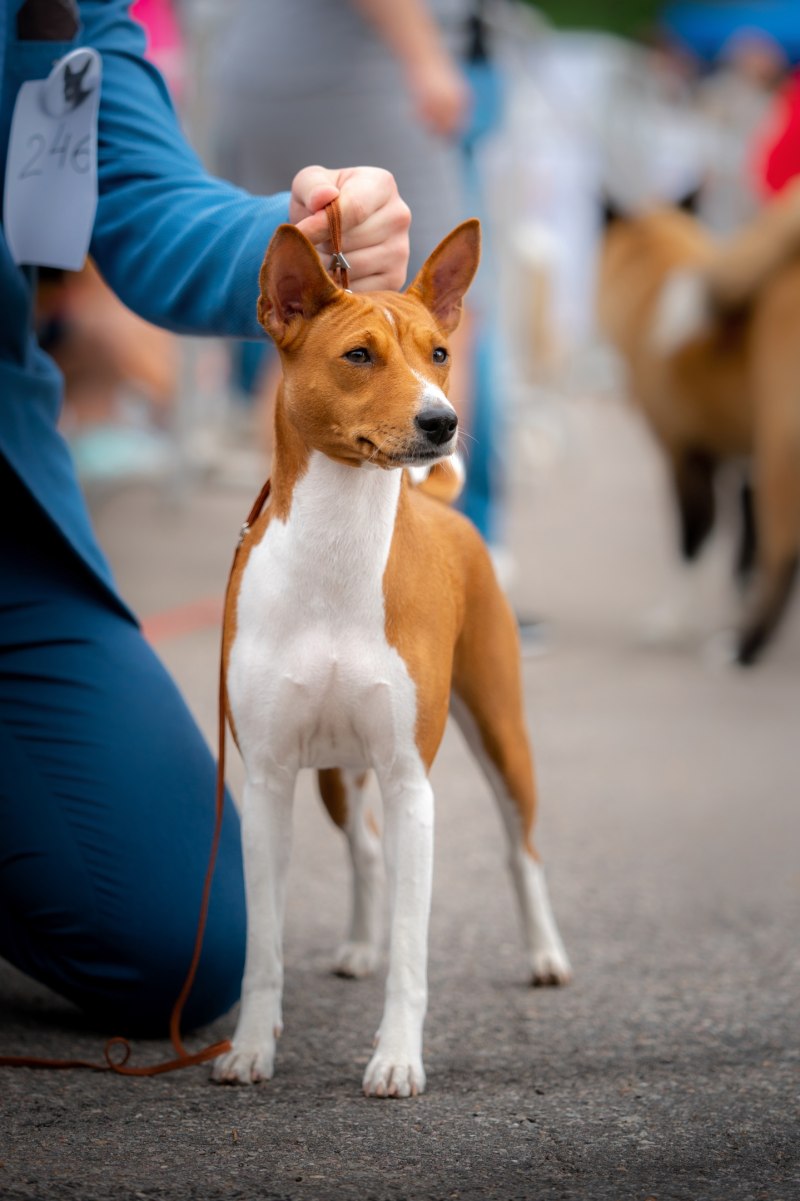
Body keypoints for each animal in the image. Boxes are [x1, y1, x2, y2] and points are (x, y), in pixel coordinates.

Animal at [211, 216, 566, 1100]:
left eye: (438, 352)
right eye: (359, 355)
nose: (443, 421)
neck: (340, 557)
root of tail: (439, 507)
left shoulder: (412, 782)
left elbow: (415, 947)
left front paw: (398, 1058)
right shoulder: (267, 781)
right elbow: (263, 947)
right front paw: (251, 1048)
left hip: (499, 731)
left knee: (522, 849)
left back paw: (546, 953)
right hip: (337, 773)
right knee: (364, 847)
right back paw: (359, 945)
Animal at [595, 180, 797, 667]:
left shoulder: (683, 455)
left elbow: (692, 541)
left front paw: (672, 621)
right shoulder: (743, 461)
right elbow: (745, 543)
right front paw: (738, 596)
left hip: (781, 454)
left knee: (784, 554)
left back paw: (743, 649)